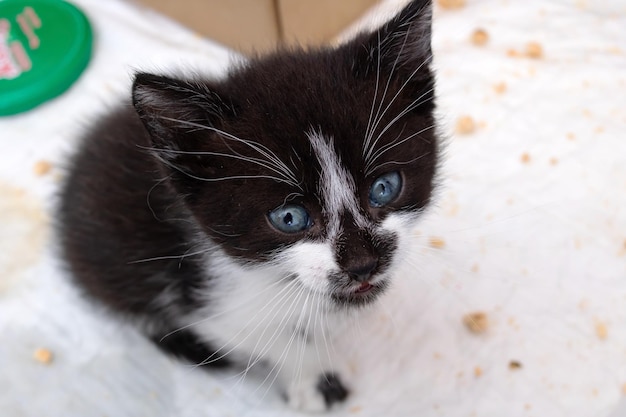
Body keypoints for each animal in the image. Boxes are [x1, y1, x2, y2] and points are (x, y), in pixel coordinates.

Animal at [58, 0, 436, 410]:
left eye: (384, 188)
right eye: (289, 217)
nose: (363, 264)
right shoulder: (204, 300)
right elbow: (265, 338)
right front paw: (314, 378)